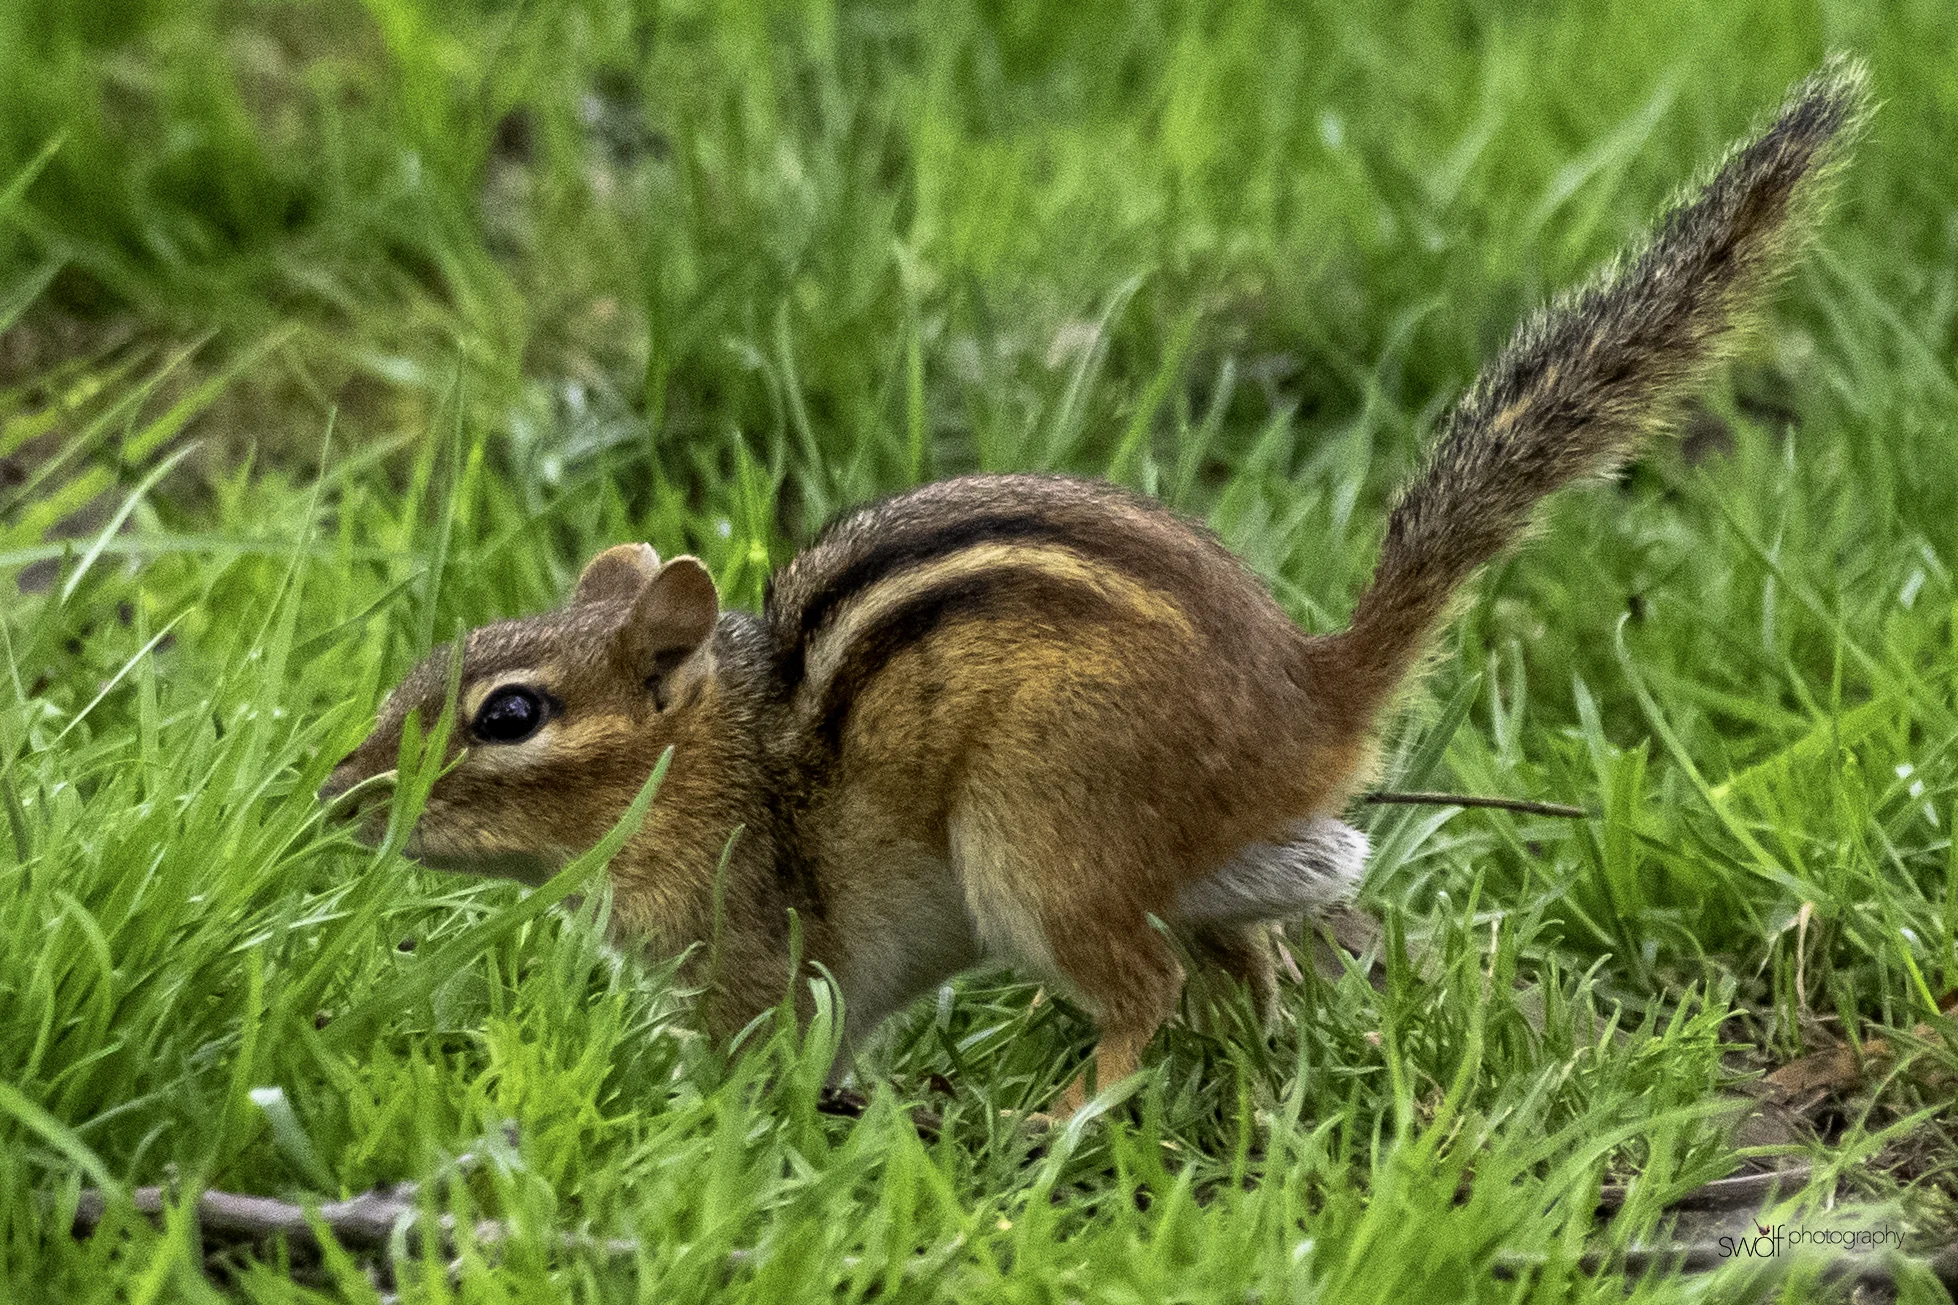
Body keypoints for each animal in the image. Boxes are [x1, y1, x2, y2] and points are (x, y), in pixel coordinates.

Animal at [320, 62, 1867, 1114]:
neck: (708, 758)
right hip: (1219, 863)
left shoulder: (755, 952)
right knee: (1245, 980)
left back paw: (1064, 1116)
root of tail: (1311, 689)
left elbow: (763, 1052)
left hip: (1037, 841)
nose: (338, 796)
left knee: (1150, 991)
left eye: (508, 716)